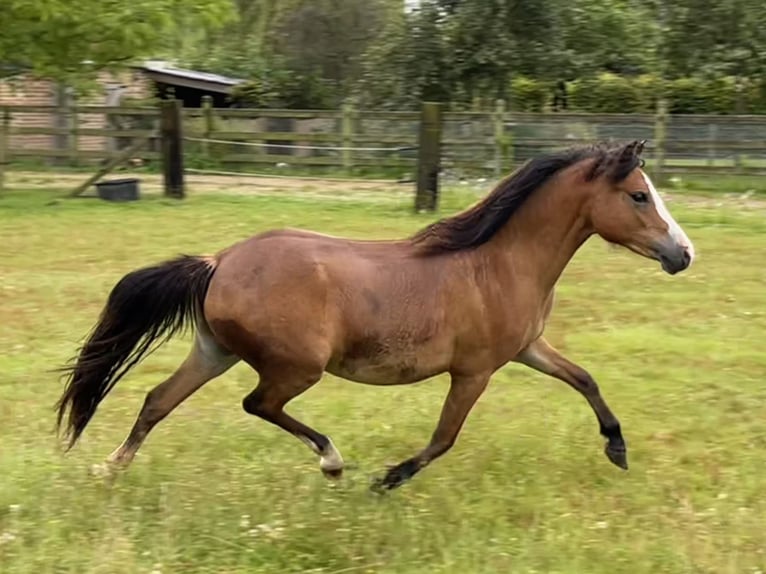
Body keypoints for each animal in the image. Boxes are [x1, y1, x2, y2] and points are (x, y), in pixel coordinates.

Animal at [55, 142, 696, 492]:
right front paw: (385, 480)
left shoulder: (526, 349)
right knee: (258, 404)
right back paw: (333, 462)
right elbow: (443, 439)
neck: (499, 263)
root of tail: (219, 263)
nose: (683, 254)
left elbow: (584, 378)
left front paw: (617, 448)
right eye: (639, 195)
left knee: (156, 401)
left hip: (215, 351)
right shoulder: (475, 371)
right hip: (295, 366)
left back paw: (109, 471)